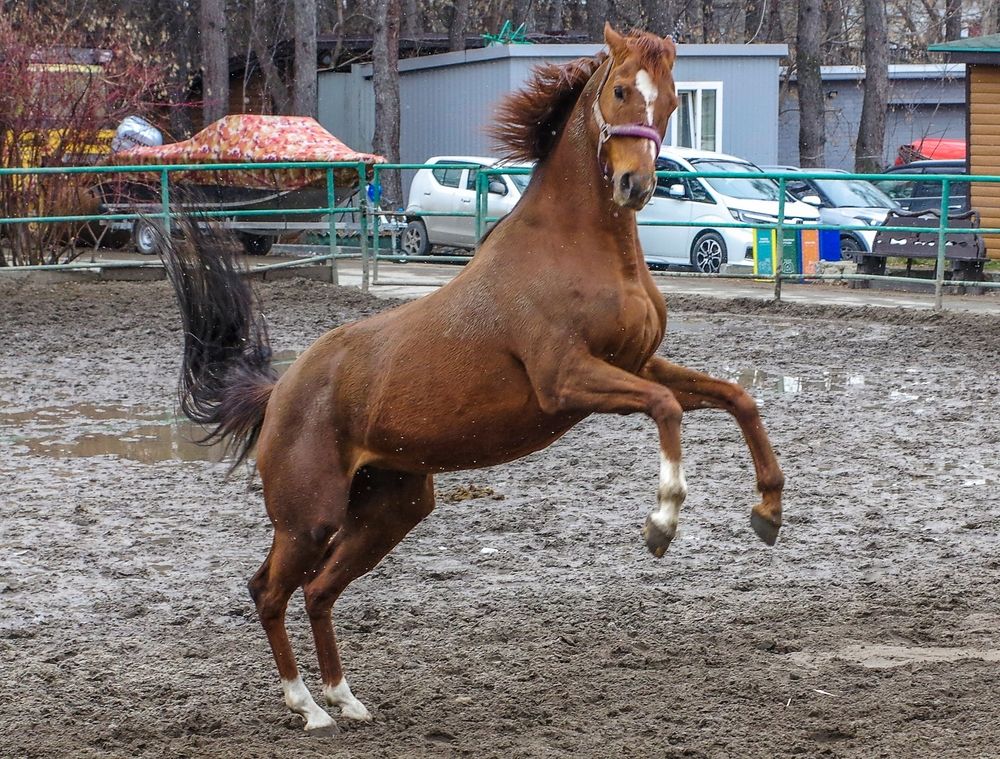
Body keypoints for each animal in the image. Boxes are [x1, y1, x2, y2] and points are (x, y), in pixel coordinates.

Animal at [159, 23, 784, 731]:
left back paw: (345, 699)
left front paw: (768, 511)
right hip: (308, 518)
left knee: (318, 592)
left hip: (392, 509)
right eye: (623, 90)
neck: (576, 249)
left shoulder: (635, 365)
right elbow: (667, 409)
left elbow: (738, 399)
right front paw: (662, 522)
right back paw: (307, 707)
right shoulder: (568, 382)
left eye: (675, 101)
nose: (635, 184)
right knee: (268, 590)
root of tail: (279, 392)